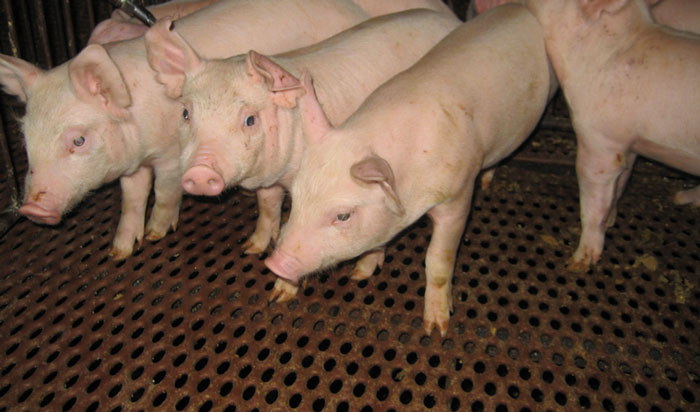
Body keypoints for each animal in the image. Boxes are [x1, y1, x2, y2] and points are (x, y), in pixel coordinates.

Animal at [0, 0, 455, 261]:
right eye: (26, 141)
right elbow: (131, 196)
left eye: (77, 139)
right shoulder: (133, 162)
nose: (32, 210)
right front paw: (120, 252)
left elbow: (165, 192)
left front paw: (158, 234)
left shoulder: (170, 157)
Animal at [144, 9, 461, 301]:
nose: (200, 172)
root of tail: (450, 19)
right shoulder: (270, 181)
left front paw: (279, 295)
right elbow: (267, 208)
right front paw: (251, 248)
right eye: (185, 113)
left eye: (250, 120)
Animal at [265, 4, 556, 336]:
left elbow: (438, 260)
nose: (274, 263)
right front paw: (359, 275)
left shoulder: (457, 196)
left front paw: (437, 328)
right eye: (295, 200)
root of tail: (517, 7)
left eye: (343, 216)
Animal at [523, 0, 700, 272]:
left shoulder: (599, 140)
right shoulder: (629, 143)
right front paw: (611, 220)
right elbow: (621, 183)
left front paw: (579, 262)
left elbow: (594, 199)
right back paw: (679, 198)